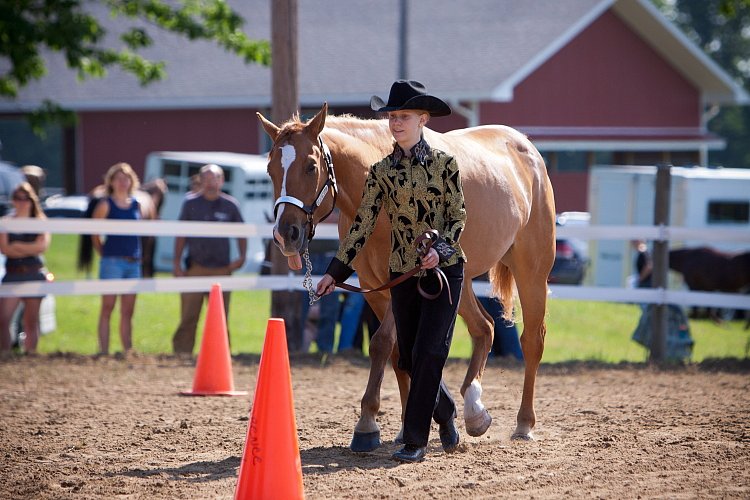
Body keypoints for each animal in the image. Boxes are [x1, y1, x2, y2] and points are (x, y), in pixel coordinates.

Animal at [258, 104, 560, 450]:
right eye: (270, 169)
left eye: (310, 166)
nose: (286, 234)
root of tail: (527, 149)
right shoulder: (375, 289)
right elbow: (398, 351)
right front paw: (405, 427)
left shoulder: (398, 286)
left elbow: (381, 344)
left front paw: (367, 424)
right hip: (459, 282)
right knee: (484, 328)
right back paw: (474, 411)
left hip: (532, 273)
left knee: (532, 341)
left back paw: (524, 423)